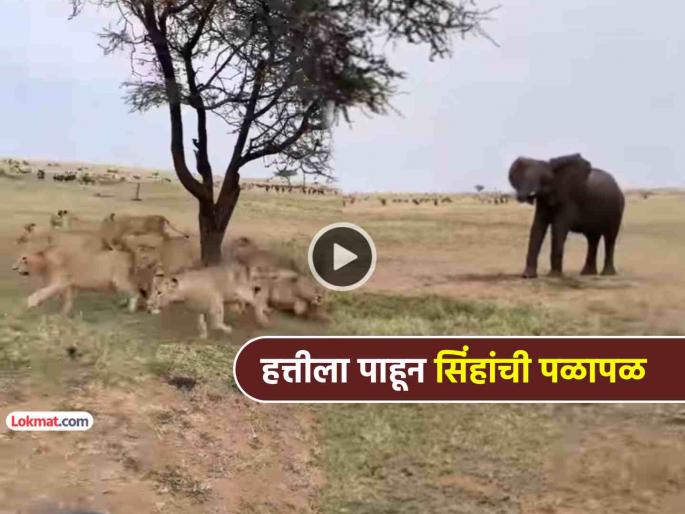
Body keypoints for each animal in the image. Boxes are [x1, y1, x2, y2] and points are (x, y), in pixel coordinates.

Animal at [12, 246, 141, 315]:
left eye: (22, 260)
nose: (13, 268)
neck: (44, 262)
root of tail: (129, 255)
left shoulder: (60, 282)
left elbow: (42, 292)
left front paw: (31, 302)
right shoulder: (69, 285)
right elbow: (68, 300)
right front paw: (63, 314)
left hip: (120, 280)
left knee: (136, 292)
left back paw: (131, 309)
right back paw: (123, 303)